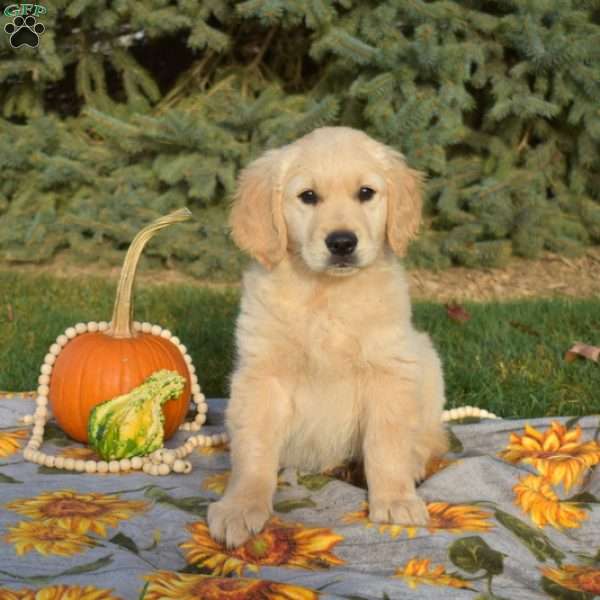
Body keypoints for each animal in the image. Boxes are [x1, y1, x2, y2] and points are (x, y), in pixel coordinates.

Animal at [209, 126, 448, 548]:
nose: (341, 243)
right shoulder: (262, 375)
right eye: (308, 197)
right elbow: (254, 448)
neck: (326, 294)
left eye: (366, 193)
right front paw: (241, 506)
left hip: (424, 357)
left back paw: (414, 465)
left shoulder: (388, 370)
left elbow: (387, 442)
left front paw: (395, 500)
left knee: (429, 435)